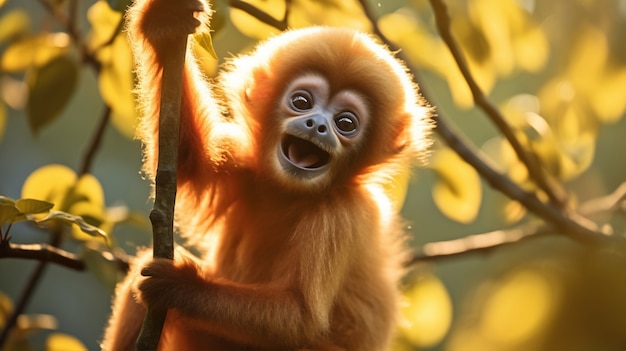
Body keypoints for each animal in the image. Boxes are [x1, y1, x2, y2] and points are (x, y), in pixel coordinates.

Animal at [102, 0, 432, 350]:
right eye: (302, 102)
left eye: (346, 123)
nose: (318, 125)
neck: (290, 195)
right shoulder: (248, 170)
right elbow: (187, 161)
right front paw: (166, 22)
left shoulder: (344, 216)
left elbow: (300, 317)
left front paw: (180, 283)